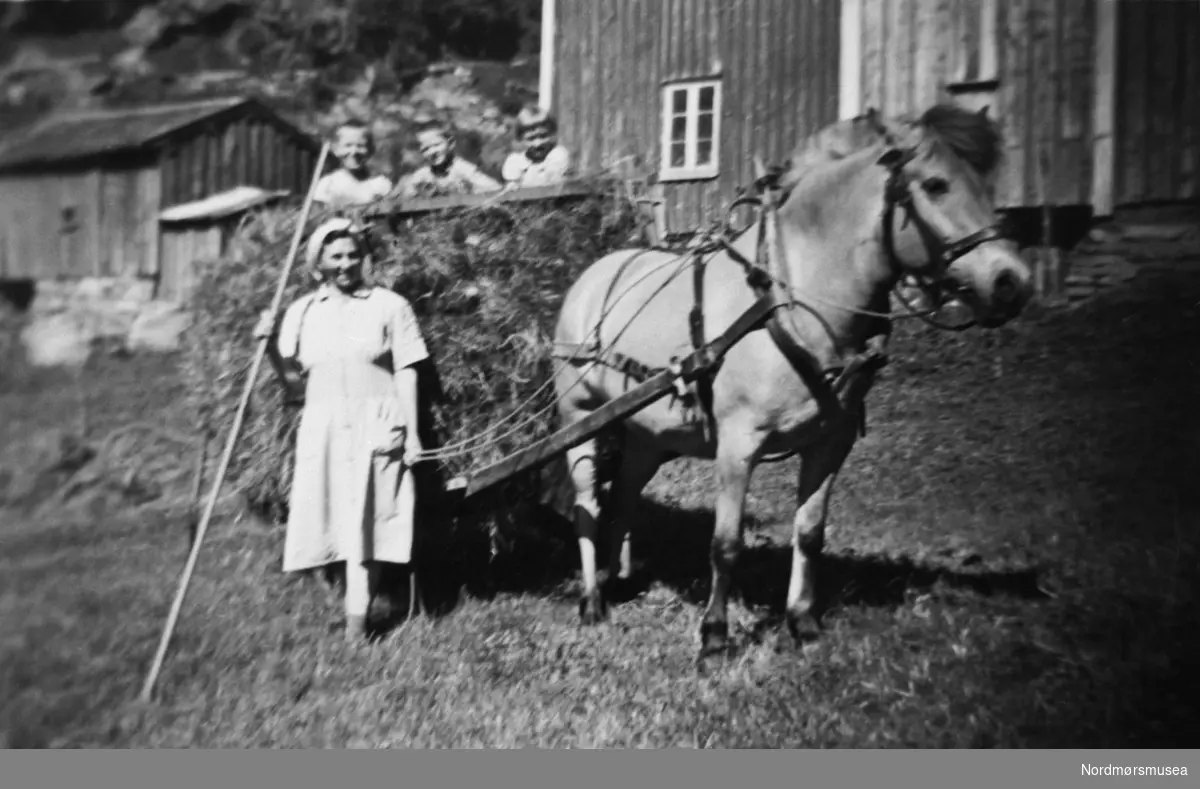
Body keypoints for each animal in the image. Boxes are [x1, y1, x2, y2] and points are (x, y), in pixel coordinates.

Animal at [552, 104, 1032, 657]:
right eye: (935, 184)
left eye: (988, 186)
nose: (1012, 282)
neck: (788, 299)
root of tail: (594, 274)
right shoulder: (737, 445)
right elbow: (726, 543)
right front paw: (714, 634)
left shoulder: (830, 442)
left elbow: (809, 532)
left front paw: (802, 621)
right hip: (581, 422)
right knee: (588, 504)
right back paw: (591, 600)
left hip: (647, 435)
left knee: (623, 497)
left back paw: (615, 579)